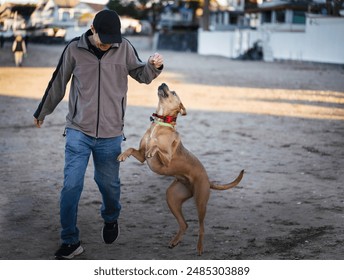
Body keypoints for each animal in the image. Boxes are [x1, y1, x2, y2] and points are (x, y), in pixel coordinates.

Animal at [118, 82, 245, 255]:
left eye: (173, 92)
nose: (163, 83)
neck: (161, 122)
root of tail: (208, 180)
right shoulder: (142, 157)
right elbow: (131, 149)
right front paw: (122, 155)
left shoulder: (167, 159)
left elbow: (157, 148)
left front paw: (153, 148)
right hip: (172, 197)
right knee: (184, 224)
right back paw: (175, 241)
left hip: (200, 201)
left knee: (201, 227)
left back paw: (199, 248)